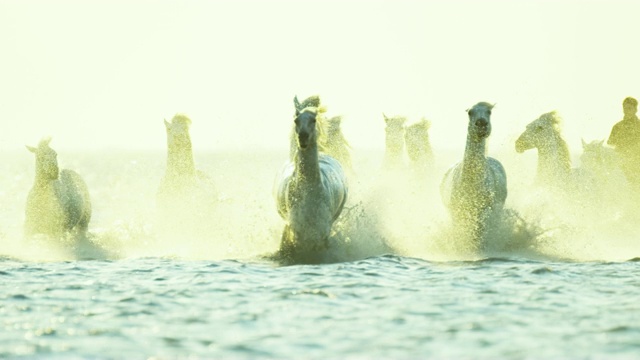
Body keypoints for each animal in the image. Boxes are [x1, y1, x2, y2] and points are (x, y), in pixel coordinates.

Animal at [272, 97, 348, 262]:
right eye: (296, 120)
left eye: (313, 120)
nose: (303, 137)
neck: (308, 189)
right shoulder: (295, 227)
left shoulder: (322, 231)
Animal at [440, 101, 504, 242]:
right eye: (470, 112)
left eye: (489, 112)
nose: (481, 124)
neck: (471, 182)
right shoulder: (457, 213)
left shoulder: (483, 213)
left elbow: (478, 235)